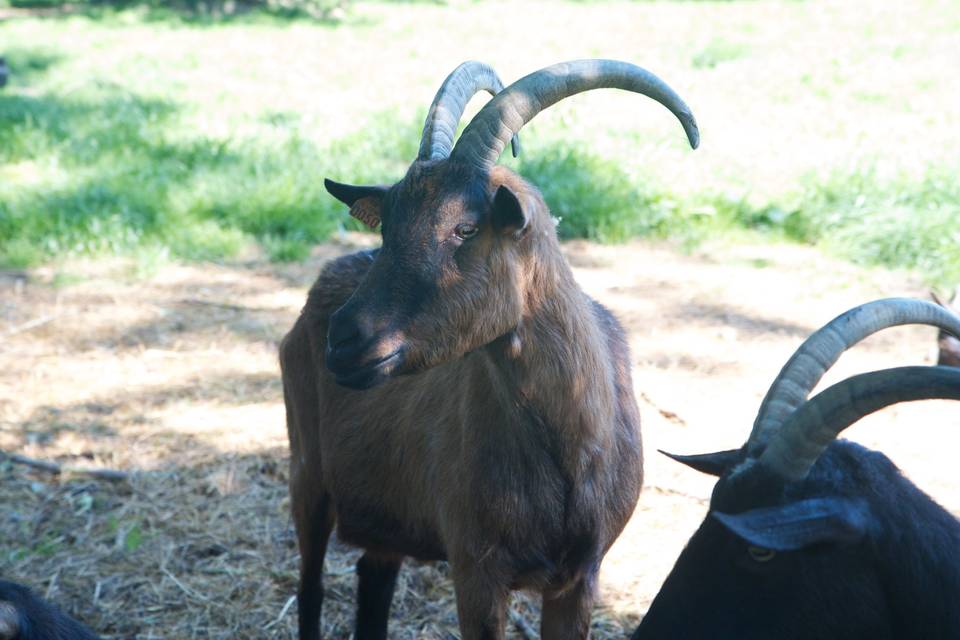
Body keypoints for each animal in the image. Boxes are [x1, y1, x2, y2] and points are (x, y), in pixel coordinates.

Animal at [278, 60, 696, 640]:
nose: (342, 340)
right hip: (307, 475)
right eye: (387, 228)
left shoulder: (580, 577)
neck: (570, 447)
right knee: (311, 584)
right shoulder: (475, 569)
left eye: (466, 227)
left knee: (373, 577)